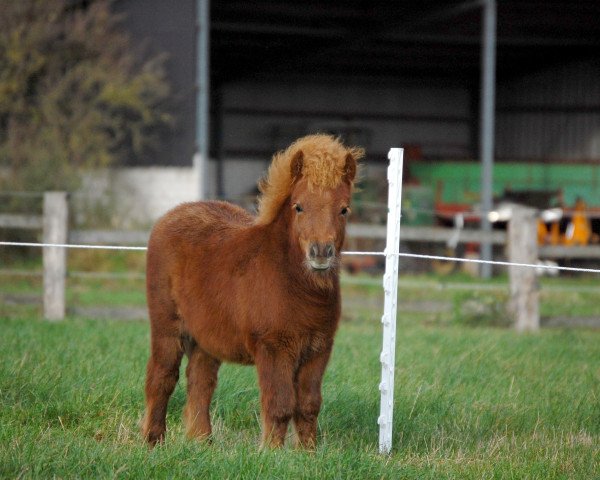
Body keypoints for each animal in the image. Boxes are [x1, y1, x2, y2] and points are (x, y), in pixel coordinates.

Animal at [143, 133, 364, 448]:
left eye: (344, 209)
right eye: (298, 206)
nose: (320, 253)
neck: (294, 285)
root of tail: (170, 215)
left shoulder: (318, 349)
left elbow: (309, 405)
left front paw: (307, 453)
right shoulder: (273, 348)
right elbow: (280, 405)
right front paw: (271, 452)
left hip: (206, 337)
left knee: (200, 381)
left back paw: (202, 443)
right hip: (167, 326)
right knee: (162, 377)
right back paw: (153, 441)